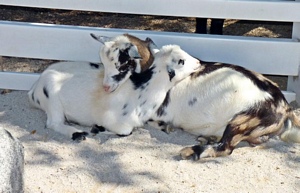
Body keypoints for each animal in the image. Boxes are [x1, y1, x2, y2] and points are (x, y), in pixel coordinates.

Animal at [94, 34, 300, 160]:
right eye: (103, 62)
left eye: (122, 65)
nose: (106, 87)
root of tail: (285, 107)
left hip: (242, 119)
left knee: (226, 147)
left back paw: (190, 151)